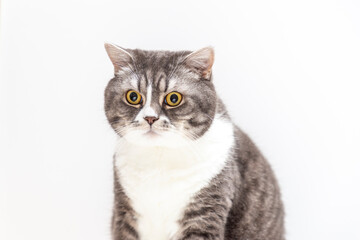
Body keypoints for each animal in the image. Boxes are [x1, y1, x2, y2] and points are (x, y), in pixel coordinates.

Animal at [103, 43, 284, 240]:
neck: (160, 158)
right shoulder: (124, 213)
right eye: (133, 97)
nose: (150, 118)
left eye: (174, 98)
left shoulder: (205, 213)